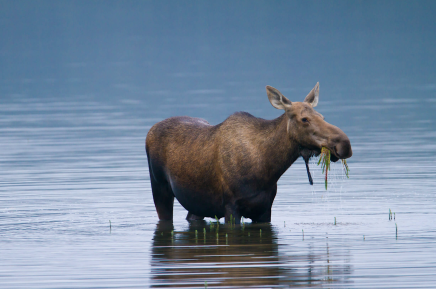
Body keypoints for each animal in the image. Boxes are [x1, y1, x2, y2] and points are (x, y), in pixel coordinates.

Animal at [146, 83, 350, 223]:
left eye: (322, 116)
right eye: (304, 119)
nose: (344, 144)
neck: (269, 167)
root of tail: (150, 131)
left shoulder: (264, 209)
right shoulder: (231, 207)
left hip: (196, 202)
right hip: (159, 188)